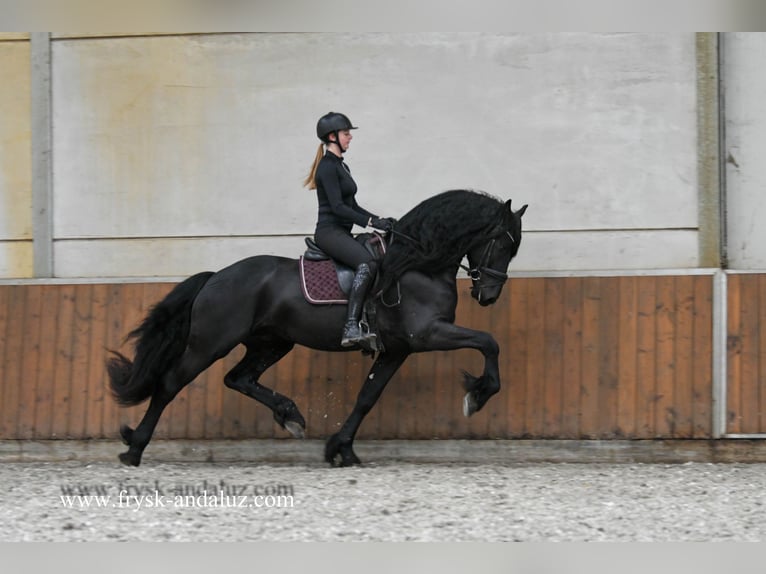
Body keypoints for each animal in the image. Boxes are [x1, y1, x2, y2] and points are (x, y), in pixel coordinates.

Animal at [107, 189, 528, 467]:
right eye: (503, 244)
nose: (489, 296)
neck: (418, 263)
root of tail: (216, 277)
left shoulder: (398, 349)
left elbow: (367, 396)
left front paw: (341, 449)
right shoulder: (426, 334)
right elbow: (489, 342)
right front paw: (477, 395)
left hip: (272, 343)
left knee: (239, 378)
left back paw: (290, 415)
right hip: (210, 343)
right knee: (170, 384)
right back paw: (134, 449)